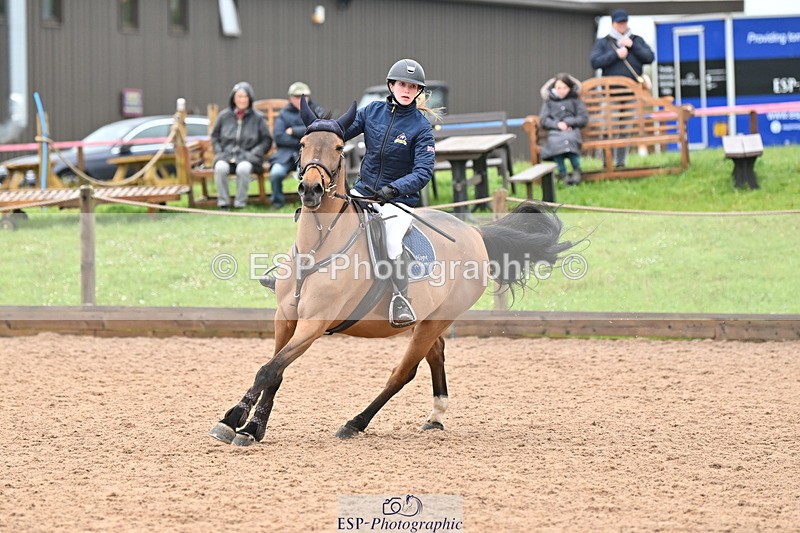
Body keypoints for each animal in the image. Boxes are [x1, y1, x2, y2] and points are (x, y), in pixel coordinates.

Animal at [209, 99, 574, 446]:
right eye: (302, 143)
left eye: (339, 148)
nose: (310, 190)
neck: (318, 249)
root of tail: (476, 234)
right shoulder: (285, 318)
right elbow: (276, 371)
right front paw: (251, 427)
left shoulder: (313, 324)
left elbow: (269, 370)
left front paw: (234, 422)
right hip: (427, 320)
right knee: (435, 354)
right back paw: (435, 417)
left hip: (435, 320)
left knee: (403, 372)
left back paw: (355, 423)